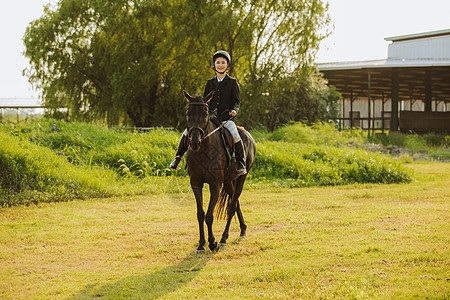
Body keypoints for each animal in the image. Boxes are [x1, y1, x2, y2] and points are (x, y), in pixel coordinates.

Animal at [182, 90, 253, 252]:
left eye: (205, 113)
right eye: (188, 113)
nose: (194, 142)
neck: (202, 150)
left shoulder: (215, 184)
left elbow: (209, 215)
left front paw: (212, 242)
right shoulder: (196, 183)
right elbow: (200, 214)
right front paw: (201, 244)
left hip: (241, 178)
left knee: (232, 207)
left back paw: (223, 239)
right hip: (228, 181)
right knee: (236, 202)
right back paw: (243, 230)